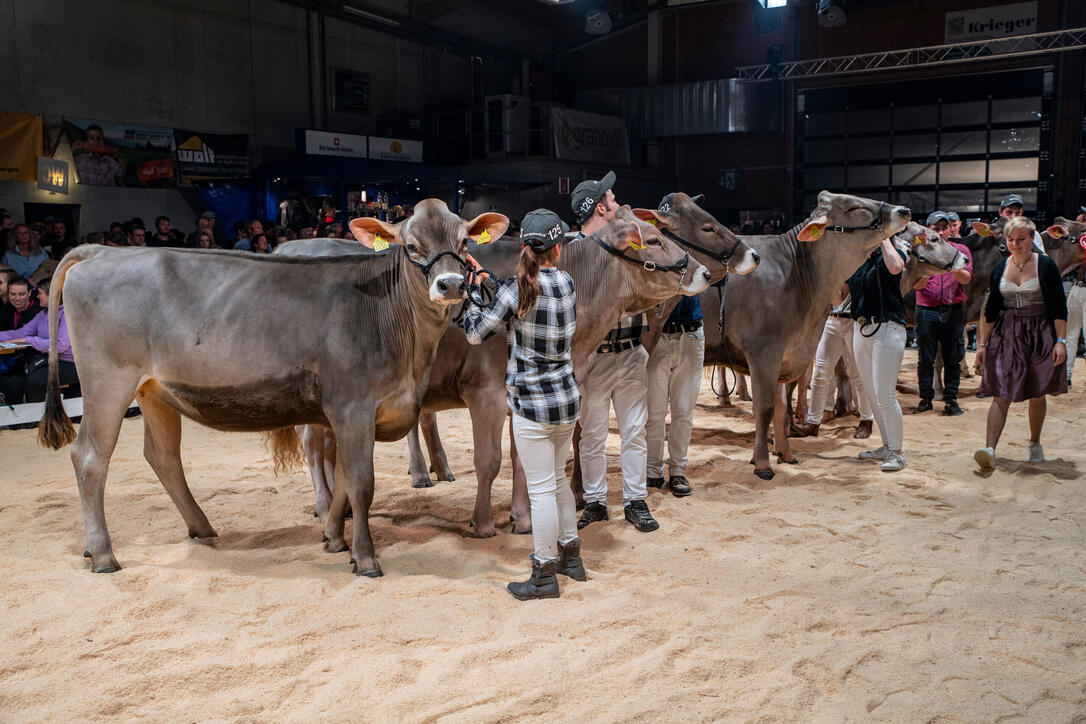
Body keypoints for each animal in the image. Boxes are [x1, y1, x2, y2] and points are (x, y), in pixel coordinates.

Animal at [36, 199, 506, 577]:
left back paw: (201, 528)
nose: (451, 285)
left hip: (153, 390)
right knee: (90, 458)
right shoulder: (353, 406)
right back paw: (103, 554)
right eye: (410, 246)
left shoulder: (351, 412)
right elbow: (360, 482)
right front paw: (365, 557)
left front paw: (333, 538)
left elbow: (342, 480)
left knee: (162, 456)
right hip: (107, 382)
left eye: (464, 242)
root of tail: (99, 251)